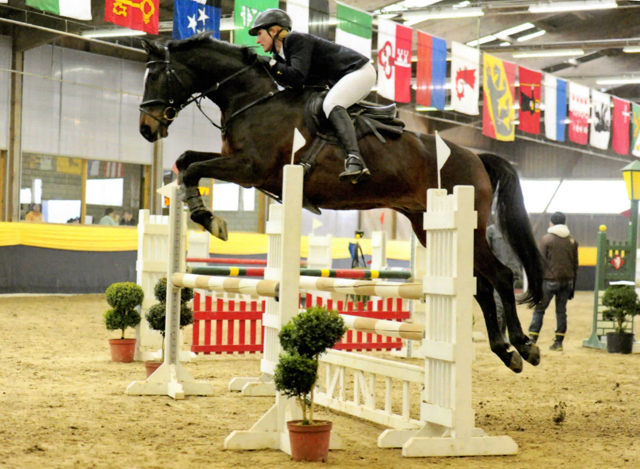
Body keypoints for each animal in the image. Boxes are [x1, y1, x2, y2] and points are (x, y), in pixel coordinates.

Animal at [138, 33, 544, 372]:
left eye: (155, 76)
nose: (147, 129)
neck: (252, 102)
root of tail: (475, 156)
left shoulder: (251, 169)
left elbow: (194, 167)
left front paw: (209, 219)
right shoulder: (239, 164)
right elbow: (187, 161)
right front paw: (201, 211)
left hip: (467, 225)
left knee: (501, 276)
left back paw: (524, 346)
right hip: (427, 226)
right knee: (482, 286)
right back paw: (506, 352)